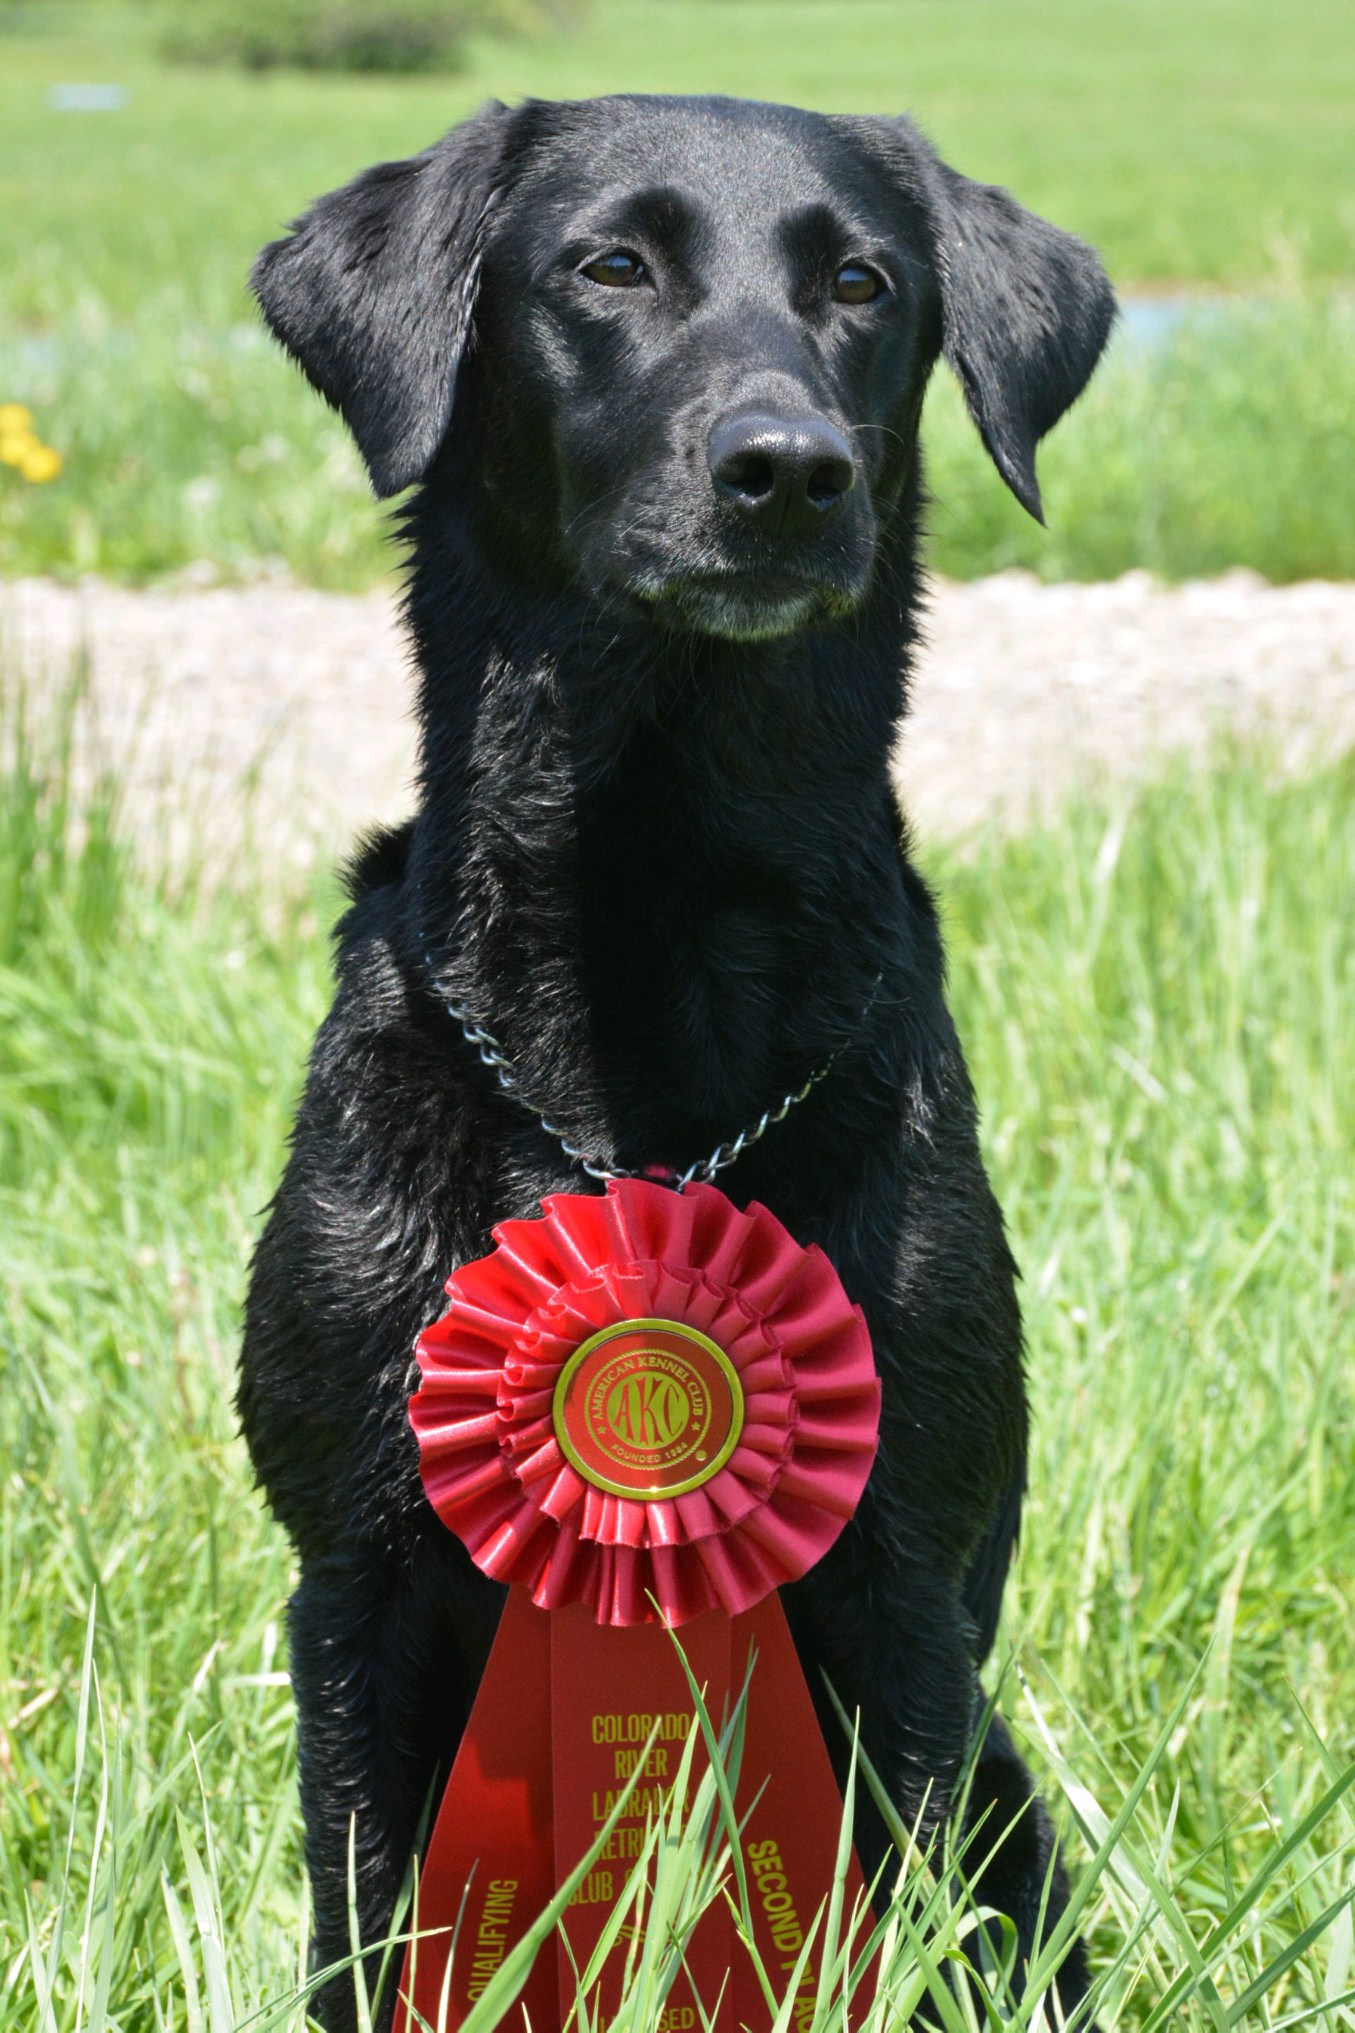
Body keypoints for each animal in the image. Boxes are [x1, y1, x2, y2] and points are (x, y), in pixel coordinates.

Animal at [240, 87, 1113, 2024]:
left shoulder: (902, 1595)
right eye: (608, 268)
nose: (787, 469)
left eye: (861, 283)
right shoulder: (352, 1578)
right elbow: (369, 1924)